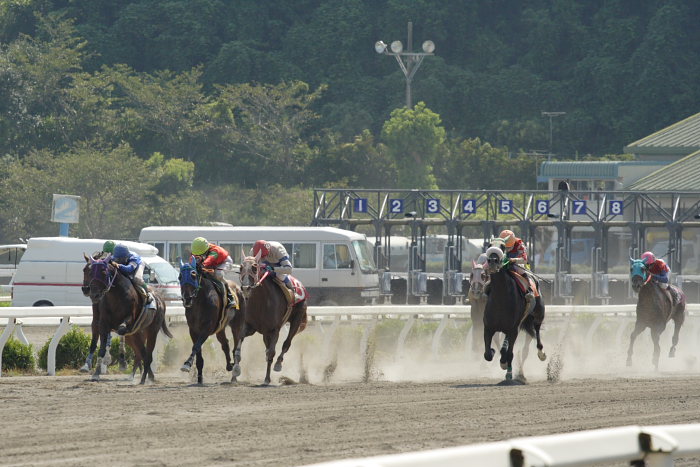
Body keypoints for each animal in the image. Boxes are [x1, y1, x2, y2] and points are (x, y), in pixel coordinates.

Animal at [81, 256, 172, 384]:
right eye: (87, 271)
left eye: (103, 272)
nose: (92, 292)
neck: (115, 296)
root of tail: (161, 299)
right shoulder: (102, 323)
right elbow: (101, 347)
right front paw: (96, 373)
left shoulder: (129, 320)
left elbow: (121, 330)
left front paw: (122, 362)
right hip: (136, 334)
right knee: (142, 353)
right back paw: (145, 376)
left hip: (152, 330)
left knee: (147, 354)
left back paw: (146, 377)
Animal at [179, 258, 245, 386]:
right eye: (180, 277)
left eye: (193, 275)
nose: (187, 299)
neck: (199, 302)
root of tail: (238, 287)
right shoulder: (193, 330)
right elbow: (198, 353)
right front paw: (199, 379)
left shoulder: (207, 329)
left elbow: (195, 347)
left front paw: (187, 364)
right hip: (220, 328)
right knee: (225, 344)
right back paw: (229, 366)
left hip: (237, 325)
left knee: (236, 348)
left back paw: (234, 374)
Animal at [234, 250, 308, 386]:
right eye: (241, 267)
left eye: (254, 267)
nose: (246, 288)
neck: (261, 302)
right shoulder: (249, 327)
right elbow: (238, 347)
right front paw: (235, 371)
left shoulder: (275, 330)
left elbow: (271, 353)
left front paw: (267, 379)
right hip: (265, 333)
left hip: (297, 319)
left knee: (286, 343)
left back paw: (278, 363)